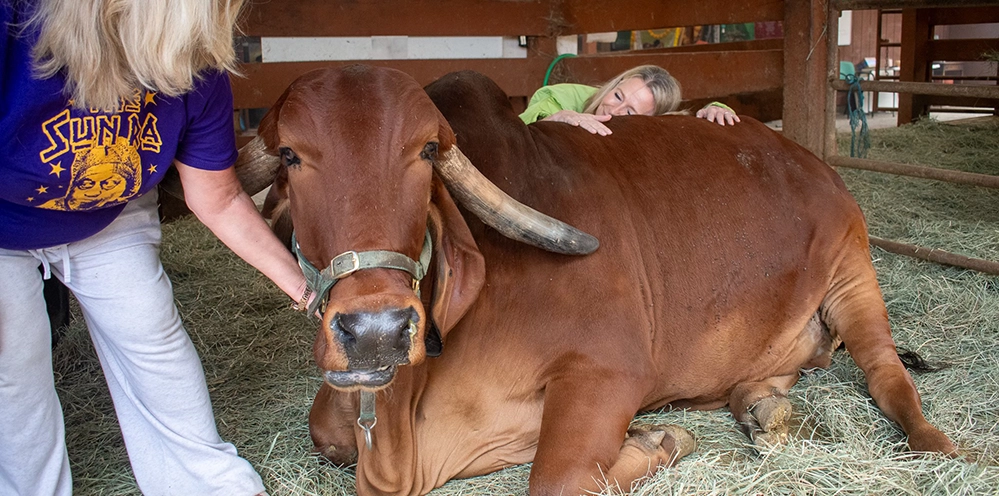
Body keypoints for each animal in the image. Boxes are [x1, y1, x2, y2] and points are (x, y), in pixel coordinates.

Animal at [235, 65, 957, 495]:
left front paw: (658, 439)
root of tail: (804, 156)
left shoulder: (610, 371)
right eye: (291, 156)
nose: (376, 330)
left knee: (886, 374)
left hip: (852, 274)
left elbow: (558, 479)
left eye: (426, 153)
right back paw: (763, 410)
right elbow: (325, 433)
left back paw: (937, 444)